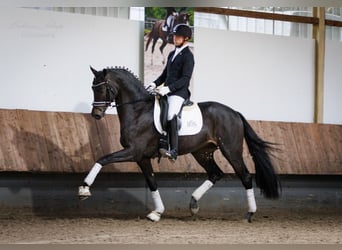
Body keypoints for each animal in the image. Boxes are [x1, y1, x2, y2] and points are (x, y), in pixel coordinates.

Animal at [79, 67, 282, 223]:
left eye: (103, 88)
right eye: (92, 88)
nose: (96, 114)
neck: (138, 110)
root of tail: (234, 113)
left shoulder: (133, 151)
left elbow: (103, 159)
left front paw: (84, 188)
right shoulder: (141, 157)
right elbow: (152, 182)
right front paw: (157, 213)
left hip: (231, 150)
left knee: (245, 176)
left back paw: (250, 213)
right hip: (202, 152)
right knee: (215, 173)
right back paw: (193, 204)